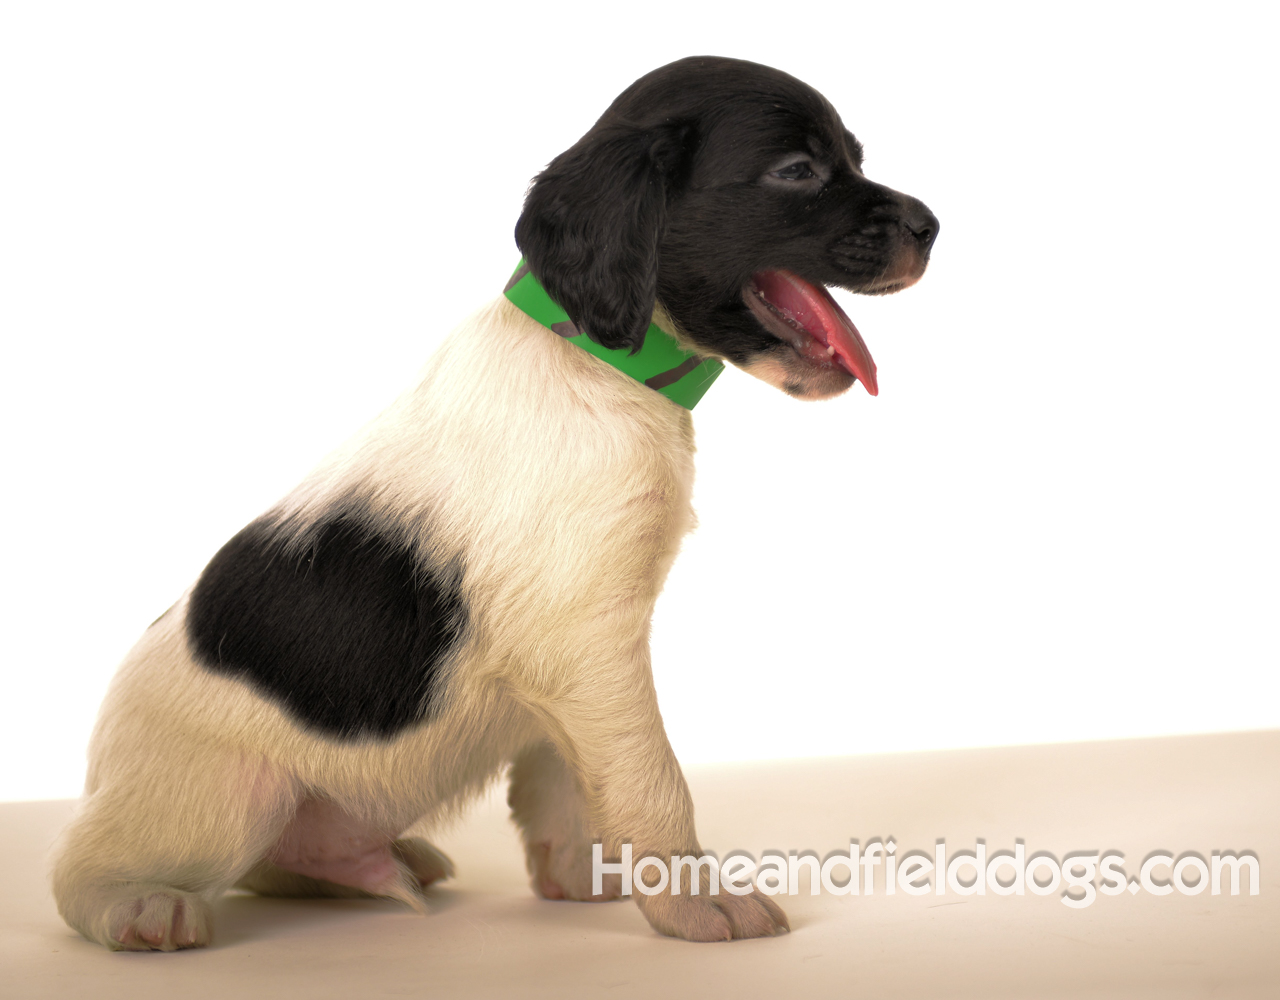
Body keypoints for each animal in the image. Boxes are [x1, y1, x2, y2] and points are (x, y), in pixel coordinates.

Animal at [52, 56, 942, 952]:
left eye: (854, 157)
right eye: (797, 171)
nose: (933, 225)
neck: (598, 362)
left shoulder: (574, 660)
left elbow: (566, 773)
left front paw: (585, 874)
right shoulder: (590, 643)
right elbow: (650, 773)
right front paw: (695, 899)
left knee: (276, 865)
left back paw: (387, 862)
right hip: (227, 795)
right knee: (78, 869)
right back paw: (142, 908)